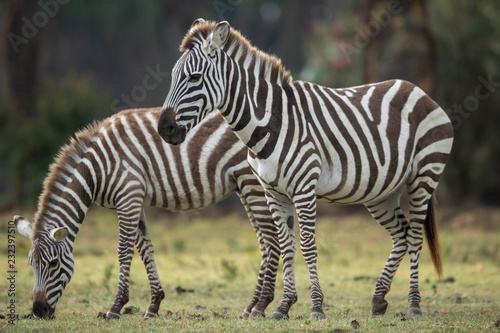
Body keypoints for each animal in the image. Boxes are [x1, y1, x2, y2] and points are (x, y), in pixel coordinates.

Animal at [14, 107, 282, 318]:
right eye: (30, 264)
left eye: (53, 263)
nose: (38, 311)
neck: (97, 168)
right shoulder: (134, 200)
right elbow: (145, 249)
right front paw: (154, 305)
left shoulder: (128, 196)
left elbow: (124, 251)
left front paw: (116, 307)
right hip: (243, 186)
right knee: (264, 241)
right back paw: (251, 306)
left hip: (253, 183)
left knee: (272, 240)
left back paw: (262, 305)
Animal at [158, 18, 456, 320]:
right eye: (172, 77)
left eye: (194, 78)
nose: (165, 129)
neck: (270, 122)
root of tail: (418, 91)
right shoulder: (273, 193)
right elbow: (287, 246)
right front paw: (284, 306)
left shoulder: (304, 189)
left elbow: (308, 247)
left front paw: (316, 307)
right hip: (381, 192)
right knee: (401, 235)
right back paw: (378, 299)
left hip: (424, 174)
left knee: (415, 237)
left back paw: (414, 304)